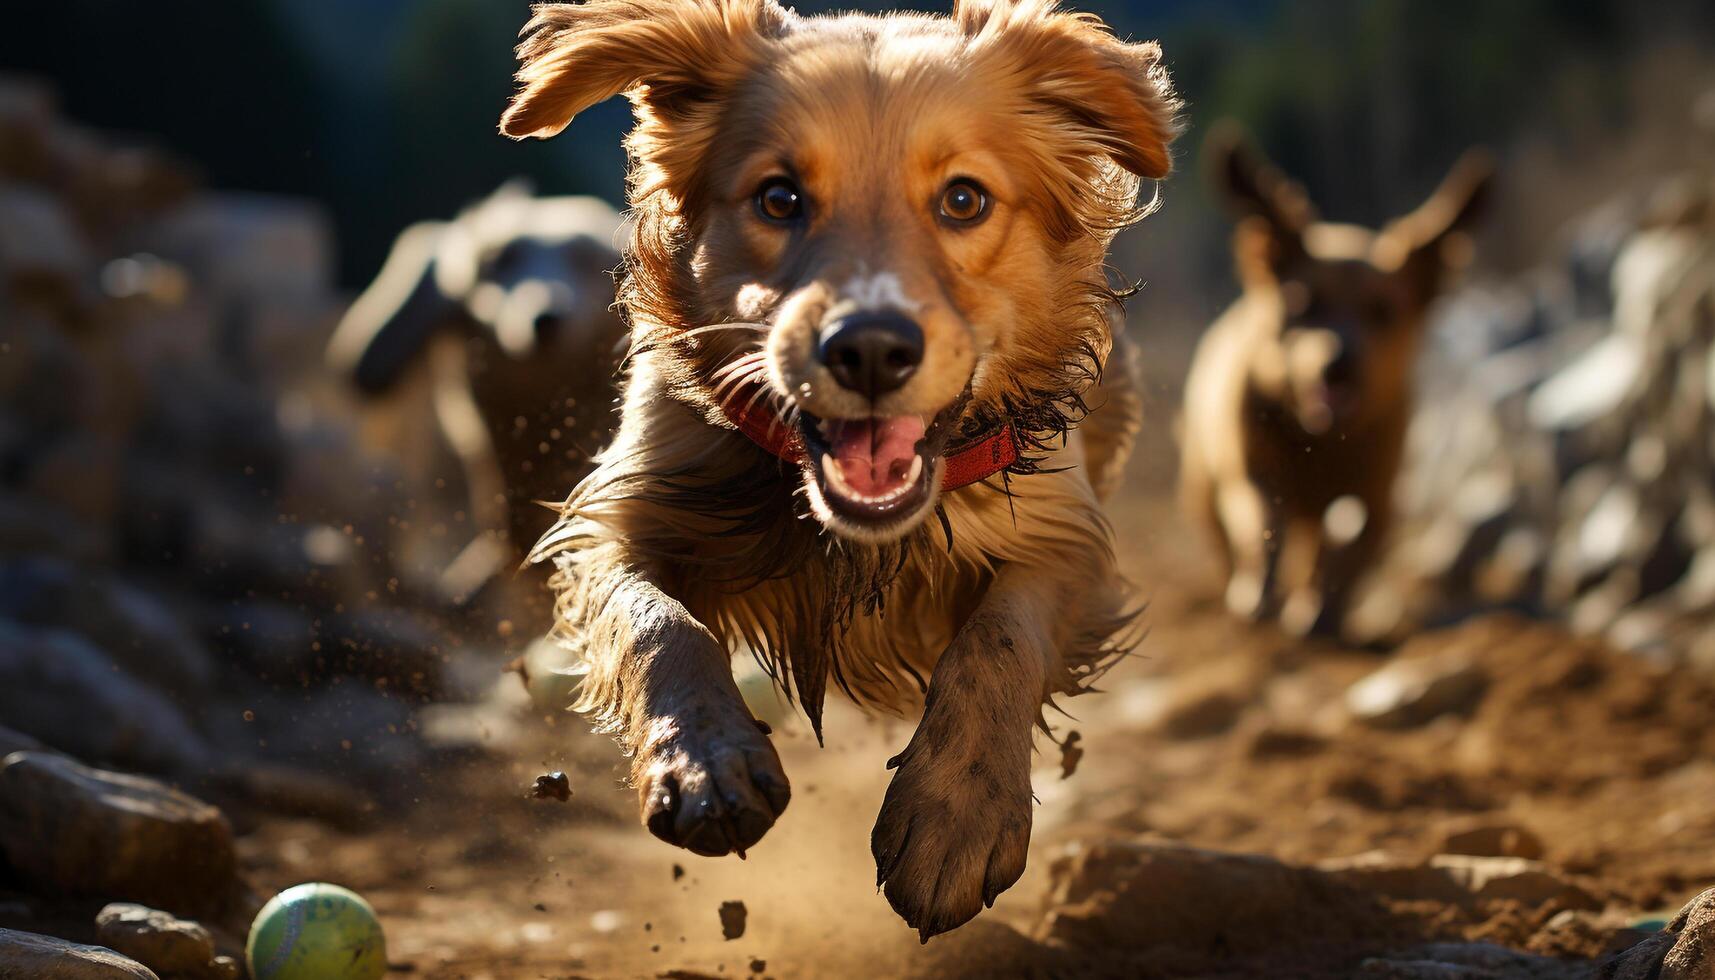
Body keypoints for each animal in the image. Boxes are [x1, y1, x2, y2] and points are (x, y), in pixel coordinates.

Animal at [500, 0, 1186, 933]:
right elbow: (656, 622)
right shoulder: (623, 514)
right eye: (779, 197)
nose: (868, 348)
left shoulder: (1064, 533)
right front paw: (706, 760)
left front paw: (956, 817)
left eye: (963, 199)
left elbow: (999, 641)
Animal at [1179, 128, 1488, 635]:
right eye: (1304, 303)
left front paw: (1320, 613)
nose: (1338, 363)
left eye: (1382, 311)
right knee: (1228, 536)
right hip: (1202, 478)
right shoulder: (1251, 471)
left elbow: (1350, 554)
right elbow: (1264, 527)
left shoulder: (1377, 497)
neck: (1321, 441)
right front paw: (1260, 599)